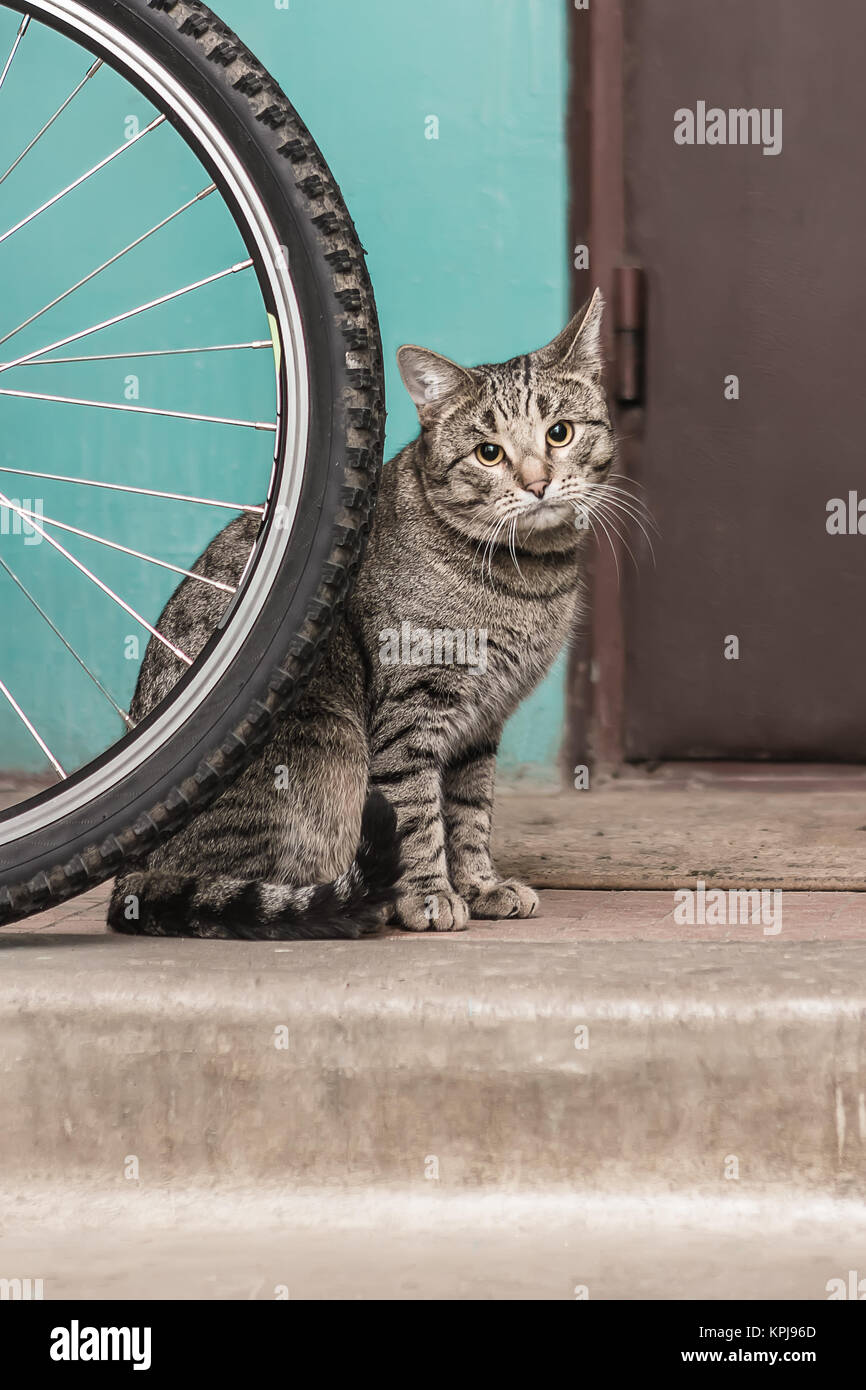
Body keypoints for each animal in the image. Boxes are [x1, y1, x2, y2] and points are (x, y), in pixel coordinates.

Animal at [108, 294, 617, 945]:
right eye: (489, 453)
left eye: (560, 433)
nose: (537, 484)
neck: (528, 579)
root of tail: (132, 873)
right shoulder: (413, 709)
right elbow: (418, 814)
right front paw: (428, 895)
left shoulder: (481, 726)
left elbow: (470, 813)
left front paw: (479, 886)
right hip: (333, 747)